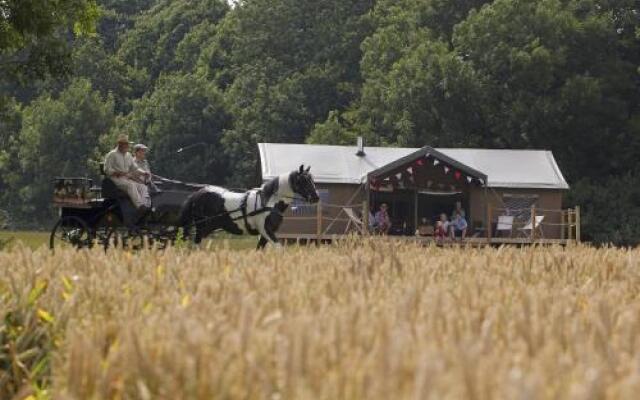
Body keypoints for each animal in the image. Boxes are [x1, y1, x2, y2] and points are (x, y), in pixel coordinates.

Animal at [179, 165, 318, 247]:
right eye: (303, 181)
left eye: (312, 179)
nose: (316, 197)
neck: (268, 202)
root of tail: (198, 193)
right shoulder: (266, 231)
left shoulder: (265, 234)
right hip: (202, 227)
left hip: (207, 228)